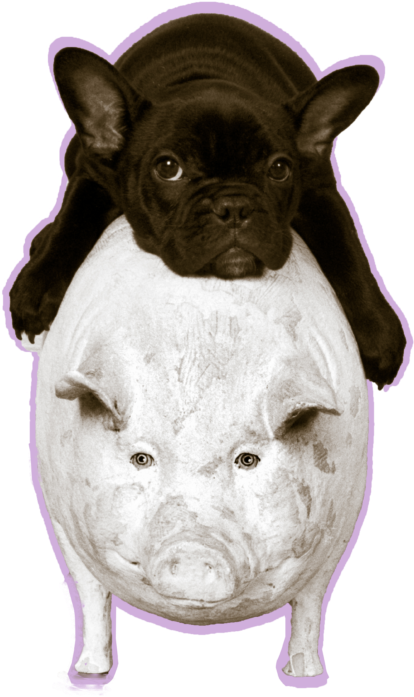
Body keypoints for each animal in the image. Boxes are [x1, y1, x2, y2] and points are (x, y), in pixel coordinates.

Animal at [32, 213, 369, 679]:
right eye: (141, 458)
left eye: (248, 459)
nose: (194, 550)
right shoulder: (62, 519)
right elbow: (91, 592)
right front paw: (90, 672)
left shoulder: (341, 526)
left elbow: (310, 605)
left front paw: (305, 674)